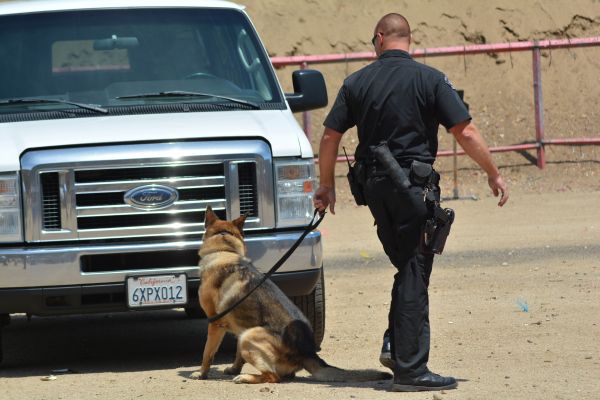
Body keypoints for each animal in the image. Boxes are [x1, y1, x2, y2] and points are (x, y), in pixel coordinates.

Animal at [190, 206, 392, 384]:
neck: (224, 251)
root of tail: (307, 352)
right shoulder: (238, 328)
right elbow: (238, 356)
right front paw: (233, 368)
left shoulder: (215, 323)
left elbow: (207, 353)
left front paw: (201, 373)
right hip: (246, 334)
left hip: (250, 335)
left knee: (273, 377)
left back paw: (246, 378)